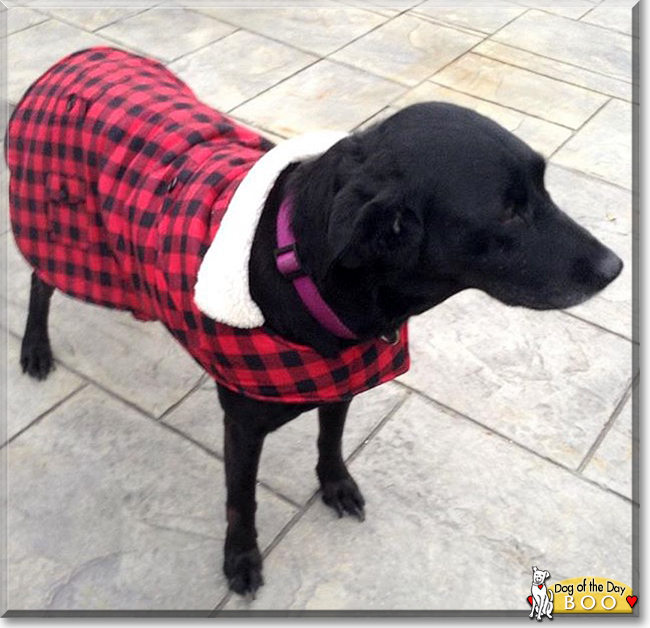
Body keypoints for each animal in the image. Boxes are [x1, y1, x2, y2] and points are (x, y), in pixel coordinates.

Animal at [17, 100, 620, 596]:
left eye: (543, 189)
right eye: (509, 212)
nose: (614, 267)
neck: (304, 274)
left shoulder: (341, 379)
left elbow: (331, 439)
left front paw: (336, 485)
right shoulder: (242, 427)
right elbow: (241, 499)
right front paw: (241, 558)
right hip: (63, 233)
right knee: (41, 280)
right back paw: (34, 348)